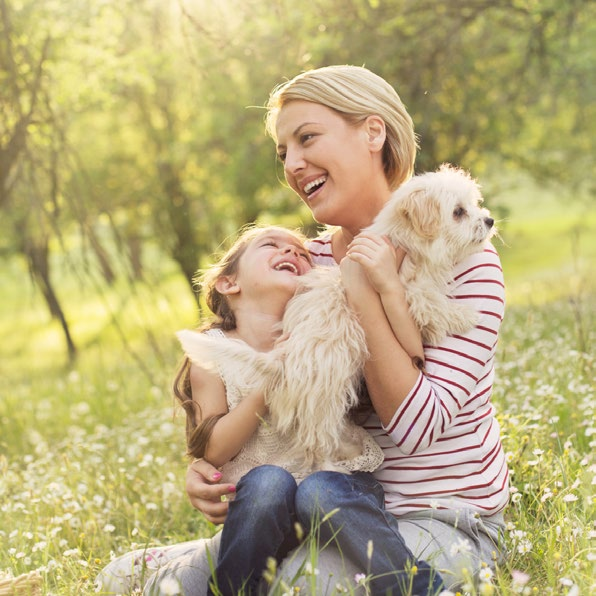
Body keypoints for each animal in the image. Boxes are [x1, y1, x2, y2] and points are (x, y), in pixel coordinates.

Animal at [176, 163, 494, 470]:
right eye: (458, 212)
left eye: (474, 204)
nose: (489, 220)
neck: (404, 241)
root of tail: (282, 361)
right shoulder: (408, 289)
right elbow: (430, 302)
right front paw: (464, 315)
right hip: (326, 393)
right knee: (315, 444)